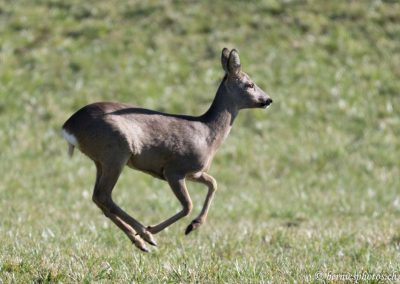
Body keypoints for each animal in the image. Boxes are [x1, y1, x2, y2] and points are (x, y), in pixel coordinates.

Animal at [61, 47, 272, 252]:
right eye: (250, 84)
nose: (268, 100)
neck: (208, 133)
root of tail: (69, 126)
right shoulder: (174, 170)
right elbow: (188, 205)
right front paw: (156, 228)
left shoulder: (194, 172)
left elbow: (213, 183)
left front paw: (193, 225)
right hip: (116, 152)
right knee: (104, 195)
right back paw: (146, 236)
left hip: (100, 159)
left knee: (98, 197)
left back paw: (140, 241)